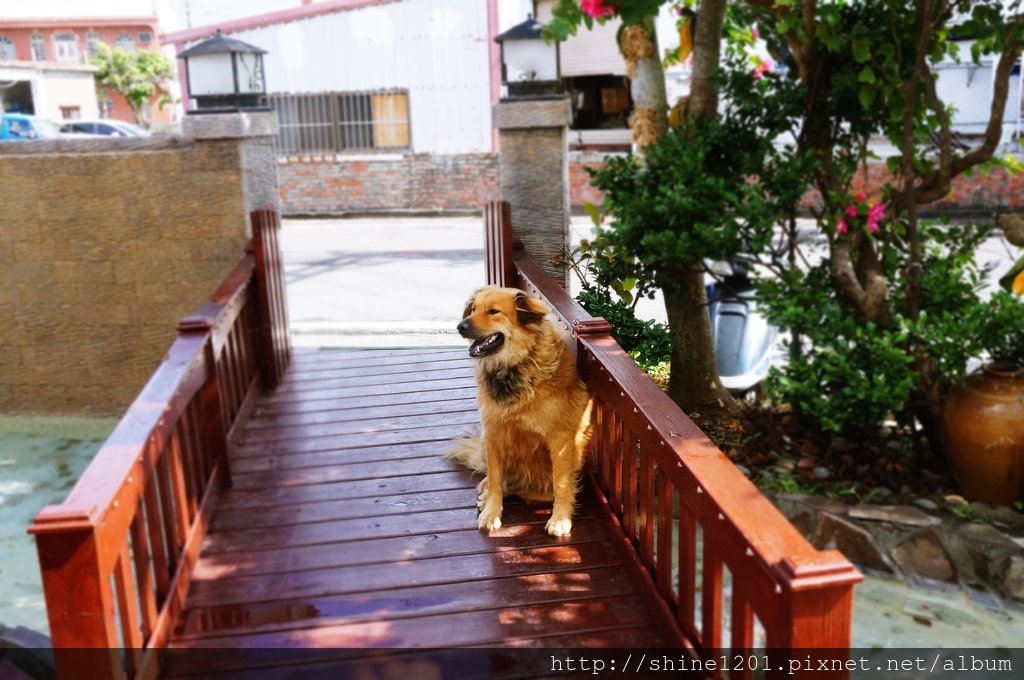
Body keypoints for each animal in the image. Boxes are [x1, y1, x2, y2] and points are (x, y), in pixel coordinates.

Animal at [446, 284, 593, 536]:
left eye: (493, 311)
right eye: (473, 309)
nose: (460, 327)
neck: (513, 366)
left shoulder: (561, 440)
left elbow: (561, 484)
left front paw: (560, 519)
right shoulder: (493, 433)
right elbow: (496, 478)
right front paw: (491, 511)